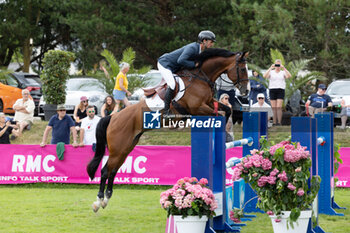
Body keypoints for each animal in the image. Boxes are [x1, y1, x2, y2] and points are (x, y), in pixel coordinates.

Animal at [86, 48, 247, 212]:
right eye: (242, 69)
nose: (245, 91)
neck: (201, 77)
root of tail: (112, 117)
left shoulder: (209, 103)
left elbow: (227, 110)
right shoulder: (198, 108)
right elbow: (218, 114)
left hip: (125, 148)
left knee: (112, 171)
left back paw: (106, 199)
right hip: (118, 148)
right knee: (105, 171)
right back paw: (98, 201)